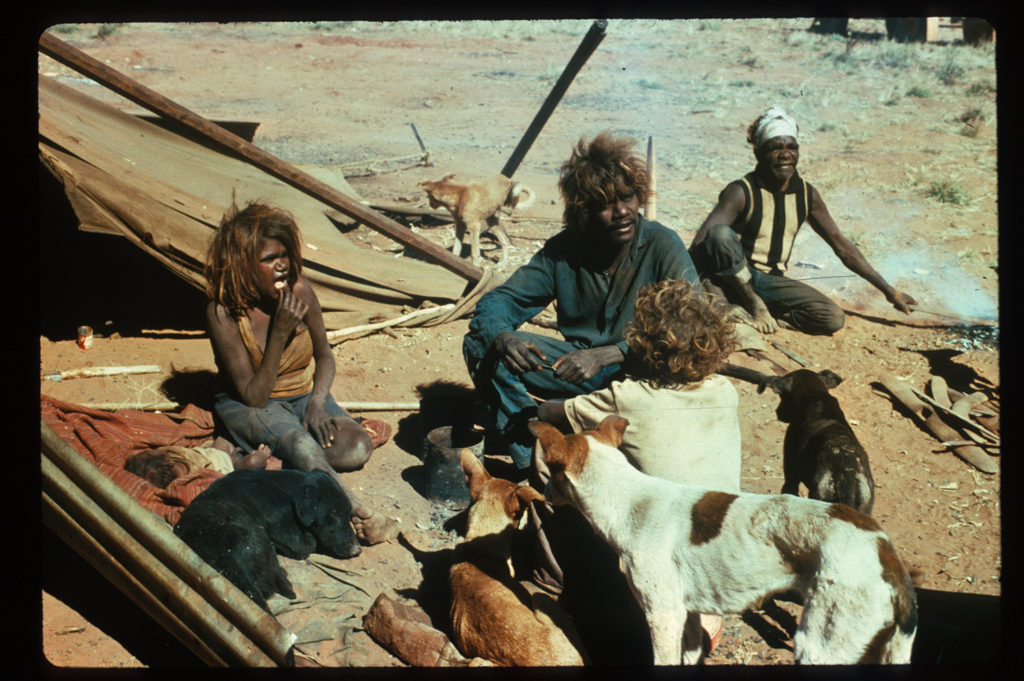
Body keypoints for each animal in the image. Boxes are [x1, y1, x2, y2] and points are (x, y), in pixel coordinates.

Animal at [176, 466, 364, 610]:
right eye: (335, 515)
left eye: (348, 513)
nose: (358, 550)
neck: (287, 491)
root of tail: (226, 554)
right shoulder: (296, 541)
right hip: (262, 538)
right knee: (286, 587)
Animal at [532, 413, 917, 663]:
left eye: (549, 468)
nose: (542, 492)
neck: (629, 501)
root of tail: (886, 552)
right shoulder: (687, 618)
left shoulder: (663, 615)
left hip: (820, 646)